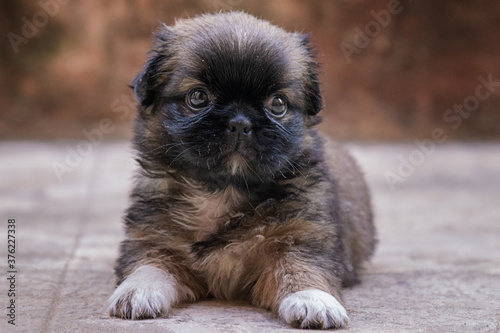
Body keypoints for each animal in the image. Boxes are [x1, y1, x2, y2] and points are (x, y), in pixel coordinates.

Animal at [108, 11, 376, 328]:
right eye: (197, 97)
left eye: (278, 103)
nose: (239, 123)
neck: (223, 190)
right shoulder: (155, 238)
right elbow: (149, 266)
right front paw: (137, 291)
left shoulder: (301, 238)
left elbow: (302, 268)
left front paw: (313, 300)